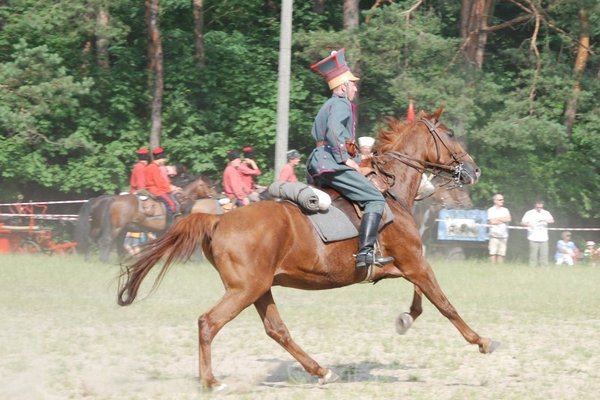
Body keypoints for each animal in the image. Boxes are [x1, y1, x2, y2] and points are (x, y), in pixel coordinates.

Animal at [74, 175, 217, 262]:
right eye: (208, 185)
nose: (217, 195)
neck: (180, 201)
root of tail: (111, 198)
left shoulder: (161, 232)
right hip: (116, 228)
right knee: (105, 241)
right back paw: (105, 261)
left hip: (105, 228)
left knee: (95, 240)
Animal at [116, 106, 496, 390]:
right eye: (449, 134)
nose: (474, 170)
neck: (390, 192)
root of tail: (218, 220)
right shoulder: (414, 262)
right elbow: (444, 304)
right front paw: (482, 341)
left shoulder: (407, 263)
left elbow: (421, 298)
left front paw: (405, 319)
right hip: (245, 289)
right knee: (209, 322)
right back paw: (212, 381)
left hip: (260, 288)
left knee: (277, 330)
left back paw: (320, 371)